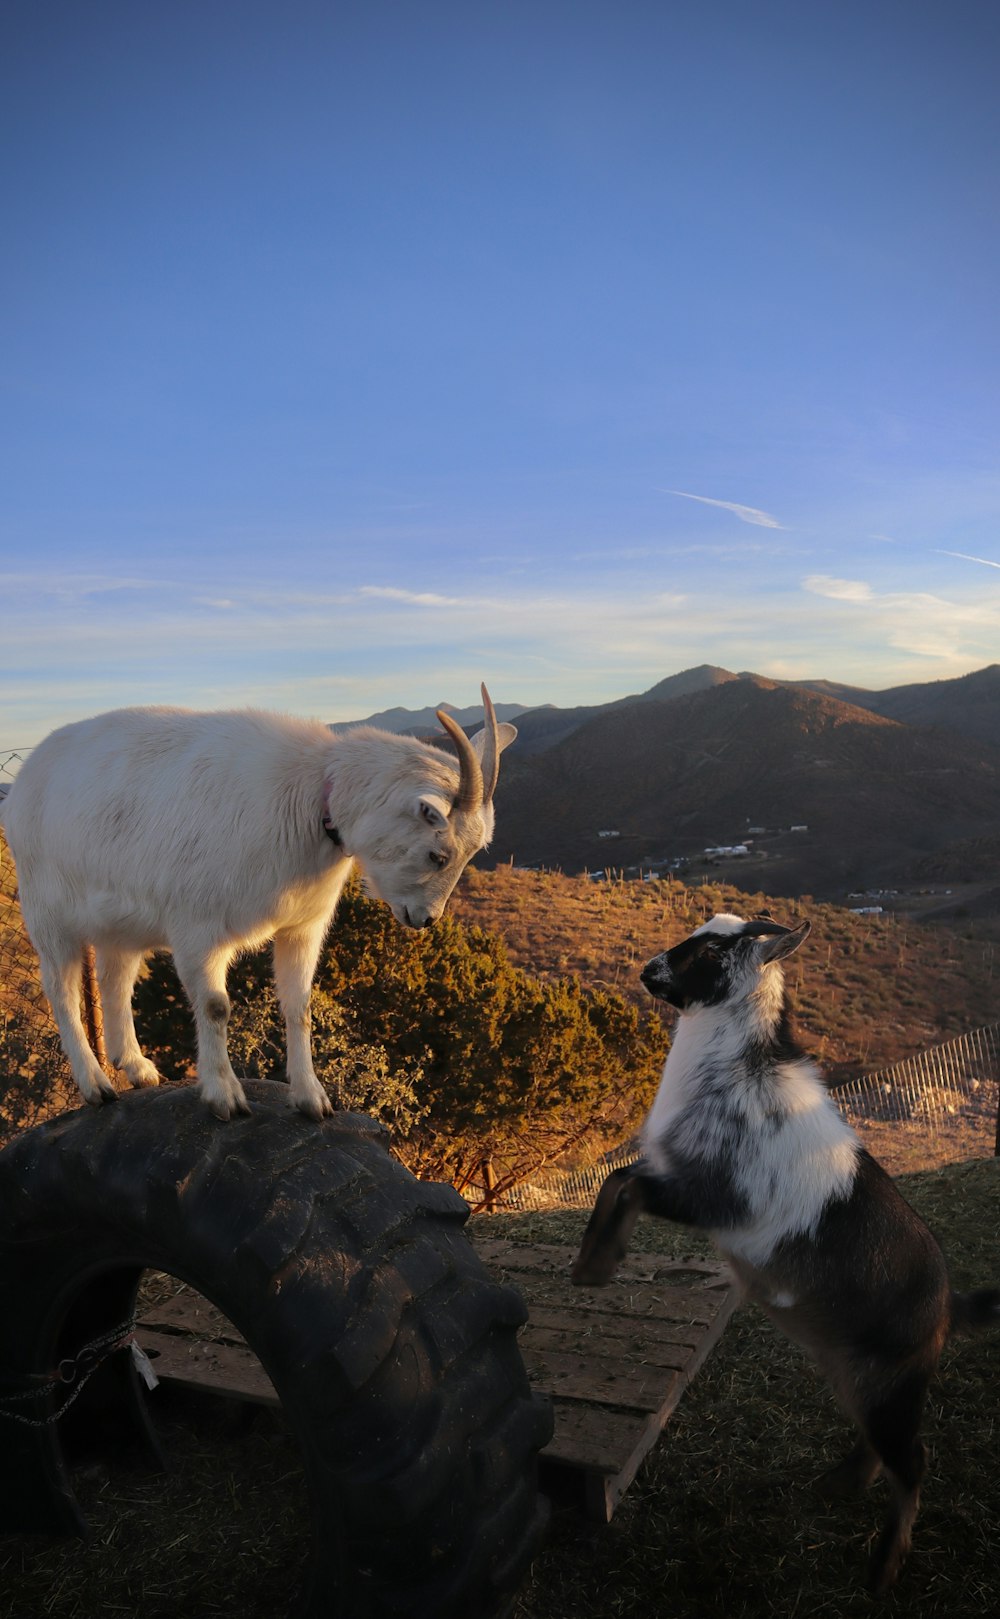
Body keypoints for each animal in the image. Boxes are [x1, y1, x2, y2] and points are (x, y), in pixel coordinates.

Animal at [1, 689, 514, 1120]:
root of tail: (27, 775)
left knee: (115, 976)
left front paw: (312, 1100)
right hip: (46, 910)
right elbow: (215, 1007)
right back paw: (95, 1084)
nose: (425, 919)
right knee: (61, 989)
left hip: (119, 920)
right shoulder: (198, 927)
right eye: (438, 854)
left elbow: (299, 1006)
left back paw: (137, 1067)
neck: (312, 795)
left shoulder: (303, 926)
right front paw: (224, 1097)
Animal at [569, 913, 996, 1593]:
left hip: (892, 1383)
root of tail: (950, 1308)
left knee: (914, 1461)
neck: (739, 1069)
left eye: (713, 950)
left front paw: (599, 1266)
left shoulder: (713, 1199)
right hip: (859, 1376)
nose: (648, 971)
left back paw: (884, 1567)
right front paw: (589, 1268)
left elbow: (625, 1183)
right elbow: (617, 1180)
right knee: (881, 1449)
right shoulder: (677, 1177)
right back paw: (837, 1486)